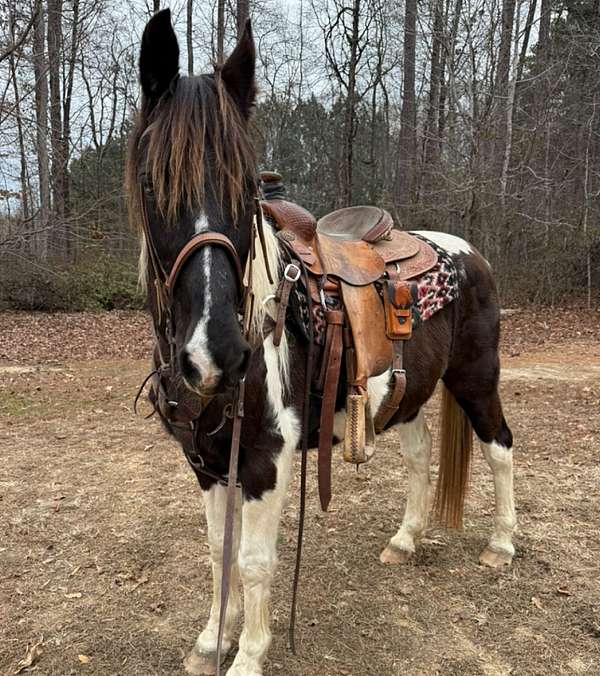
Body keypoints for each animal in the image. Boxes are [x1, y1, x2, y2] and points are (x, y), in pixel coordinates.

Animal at [126, 9, 516, 676]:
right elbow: (218, 551)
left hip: (476, 380)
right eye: (154, 184)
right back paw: (405, 540)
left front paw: (248, 655)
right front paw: (211, 641)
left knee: (500, 448)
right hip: (406, 396)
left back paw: (502, 545)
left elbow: (254, 561)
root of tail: (469, 253)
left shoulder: (265, 459)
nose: (215, 355)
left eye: (247, 188)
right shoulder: (207, 461)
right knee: (421, 456)